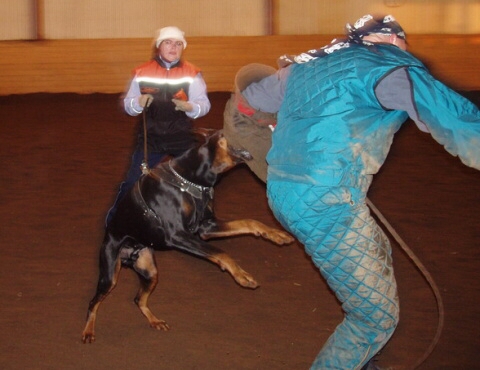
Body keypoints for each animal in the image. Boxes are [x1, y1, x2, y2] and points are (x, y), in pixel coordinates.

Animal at [82, 129, 292, 342]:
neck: (192, 181)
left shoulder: (207, 227)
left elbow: (248, 222)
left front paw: (275, 234)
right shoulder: (177, 234)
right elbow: (220, 252)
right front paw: (241, 274)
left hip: (149, 270)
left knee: (138, 299)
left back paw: (155, 321)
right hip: (110, 272)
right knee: (93, 302)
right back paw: (88, 331)